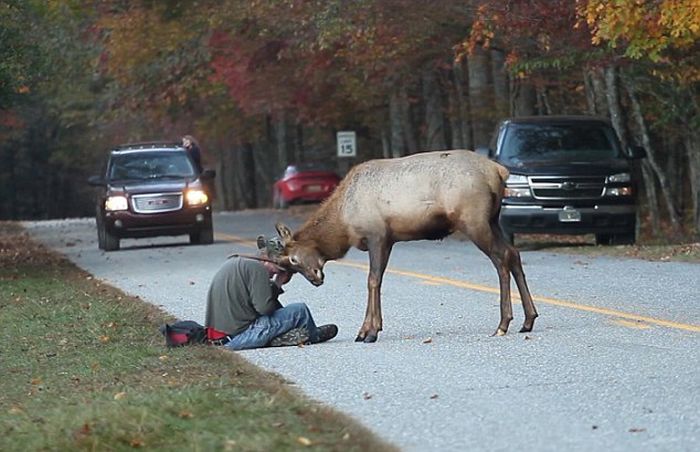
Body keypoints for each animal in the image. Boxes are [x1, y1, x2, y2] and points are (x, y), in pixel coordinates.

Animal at [274, 149, 536, 342]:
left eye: (294, 259)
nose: (315, 279)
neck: (343, 225)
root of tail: (498, 171)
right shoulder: (389, 240)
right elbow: (377, 280)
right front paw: (367, 330)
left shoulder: (377, 235)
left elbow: (372, 280)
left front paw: (369, 332)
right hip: (493, 220)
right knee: (513, 254)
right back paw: (528, 319)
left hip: (474, 221)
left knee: (500, 259)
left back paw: (503, 323)